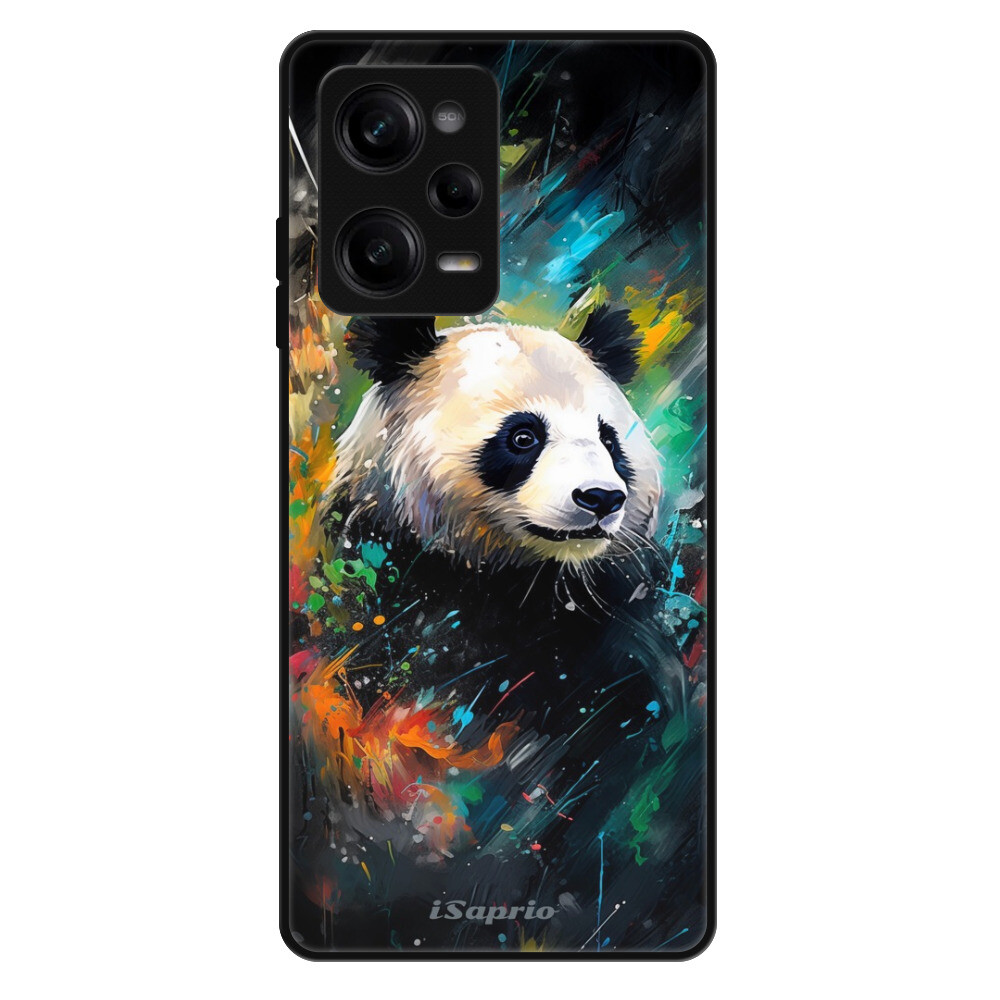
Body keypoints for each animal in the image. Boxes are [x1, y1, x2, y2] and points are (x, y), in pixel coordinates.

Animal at [291, 307, 708, 953]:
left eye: (608, 439)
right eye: (523, 437)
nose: (601, 498)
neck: (515, 580)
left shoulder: (613, 633)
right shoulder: (378, 596)